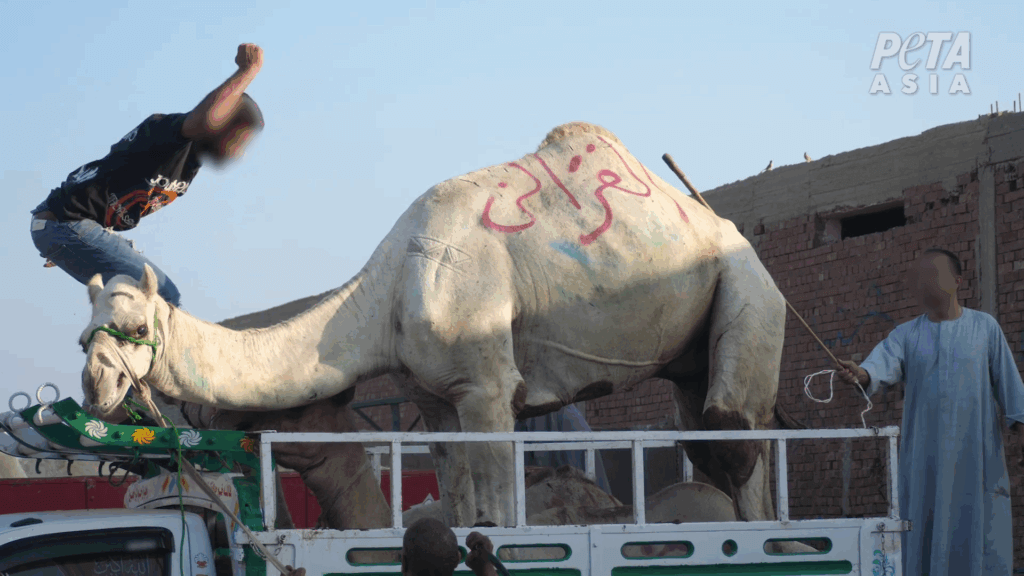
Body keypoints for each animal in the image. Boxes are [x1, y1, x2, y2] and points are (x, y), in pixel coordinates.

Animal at [78, 121, 789, 528]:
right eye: (85, 331)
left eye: (135, 325)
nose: (96, 385)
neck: (388, 292)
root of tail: (723, 228)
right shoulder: (432, 395)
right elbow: (457, 503)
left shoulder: (488, 388)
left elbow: (499, 516)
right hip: (690, 360)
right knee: (709, 439)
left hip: (753, 291)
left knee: (737, 437)